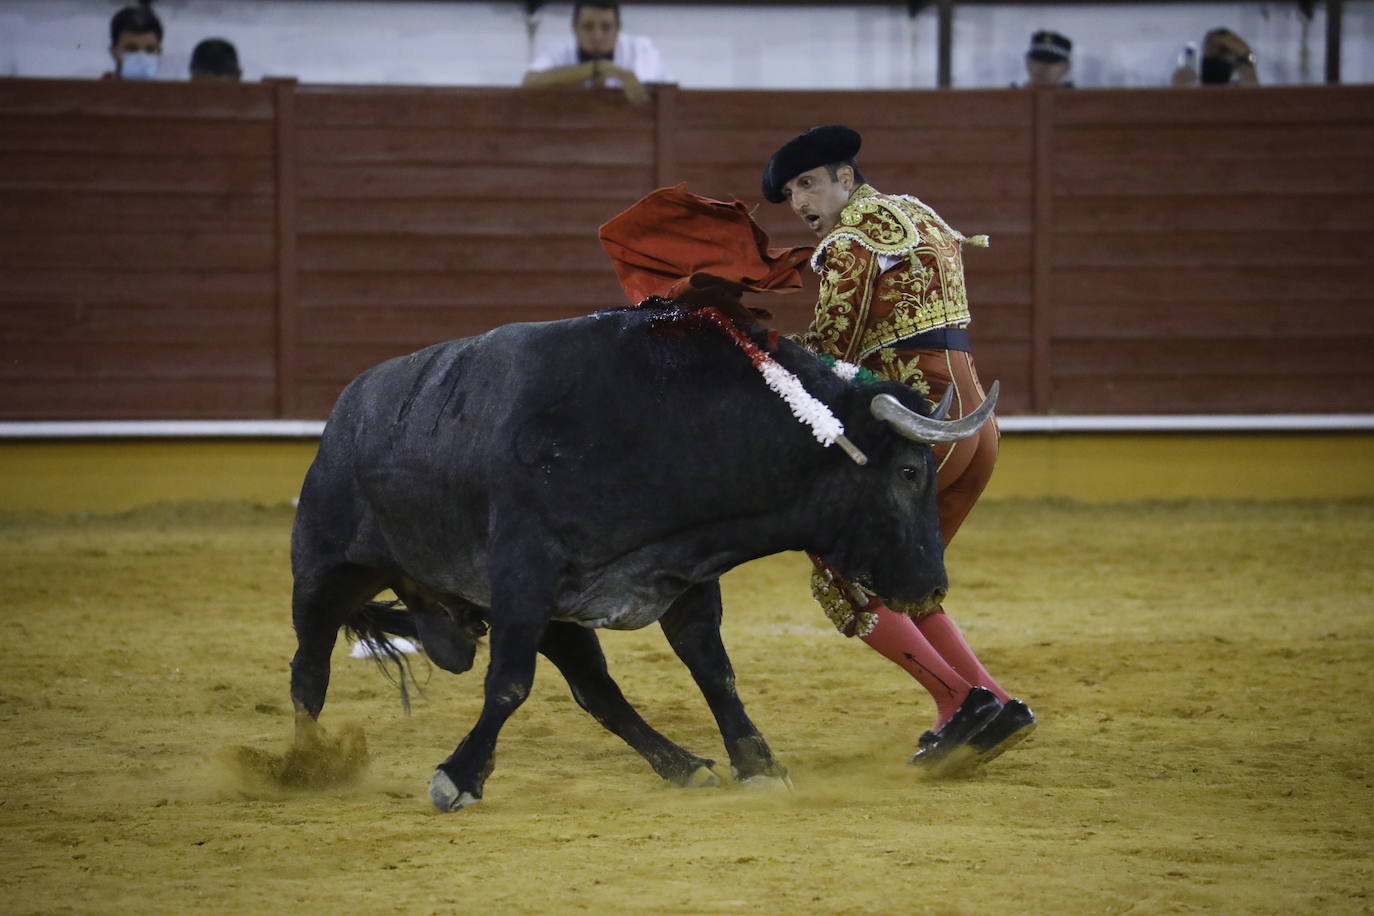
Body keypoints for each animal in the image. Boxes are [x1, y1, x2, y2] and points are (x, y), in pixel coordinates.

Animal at [292, 304, 1000, 813]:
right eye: (909, 471)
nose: (932, 587)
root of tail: (345, 411)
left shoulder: (683, 577)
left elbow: (715, 673)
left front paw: (758, 765)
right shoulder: (524, 576)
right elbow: (510, 681)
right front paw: (458, 778)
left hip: (555, 620)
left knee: (597, 691)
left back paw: (683, 768)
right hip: (324, 572)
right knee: (309, 673)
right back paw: (304, 766)